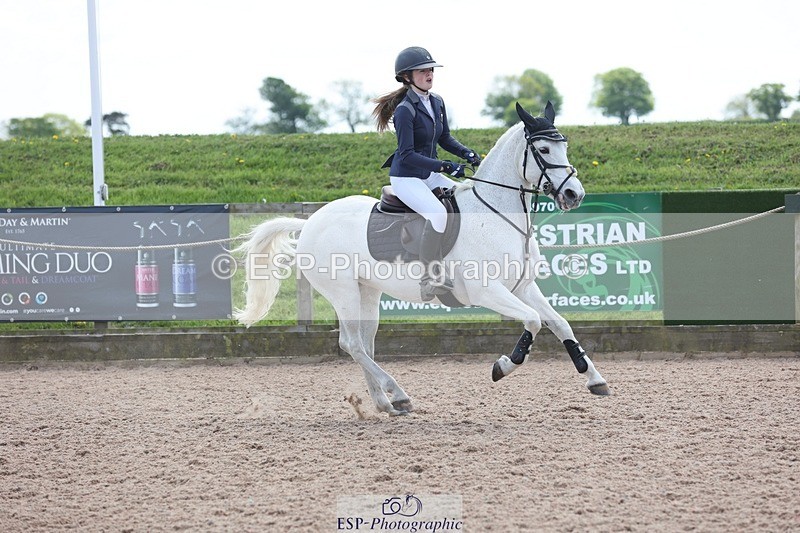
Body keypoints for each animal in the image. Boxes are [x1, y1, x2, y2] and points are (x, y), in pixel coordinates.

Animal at [234, 101, 610, 416]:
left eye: (564, 146)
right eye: (544, 149)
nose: (574, 194)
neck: (498, 214)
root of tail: (310, 221)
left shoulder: (522, 287)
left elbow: (560, 324)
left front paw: (594, 378)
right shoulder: (487, 291)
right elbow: (533, 322)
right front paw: (503, 366)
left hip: (367, 291)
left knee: (363, 344)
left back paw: (385, 403)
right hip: (343, 292)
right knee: (351, 343)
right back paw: (397, 393)